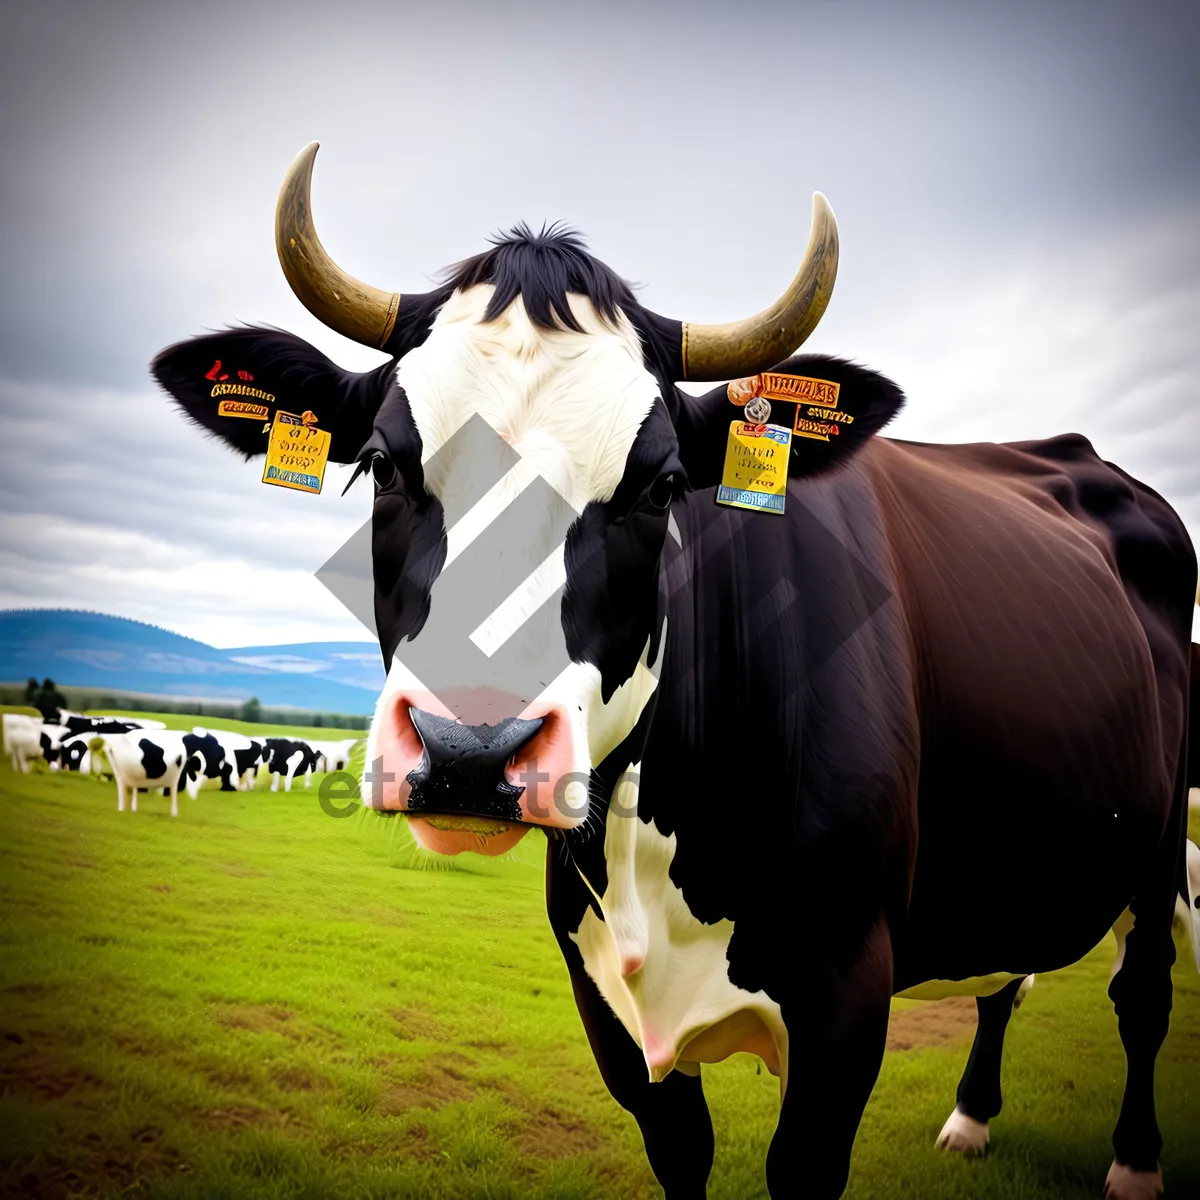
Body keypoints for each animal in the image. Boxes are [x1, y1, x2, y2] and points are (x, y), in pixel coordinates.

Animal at [152, 142, 1200, 1200]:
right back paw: (973, 1118)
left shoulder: (846, 1001)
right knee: (1008, 979)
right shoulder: (602, 997)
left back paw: (1136, 1165)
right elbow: (681, 1152)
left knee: (1143, 990)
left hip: (1161, 847)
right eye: (381, 464)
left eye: (658, 487)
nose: (469, 750)